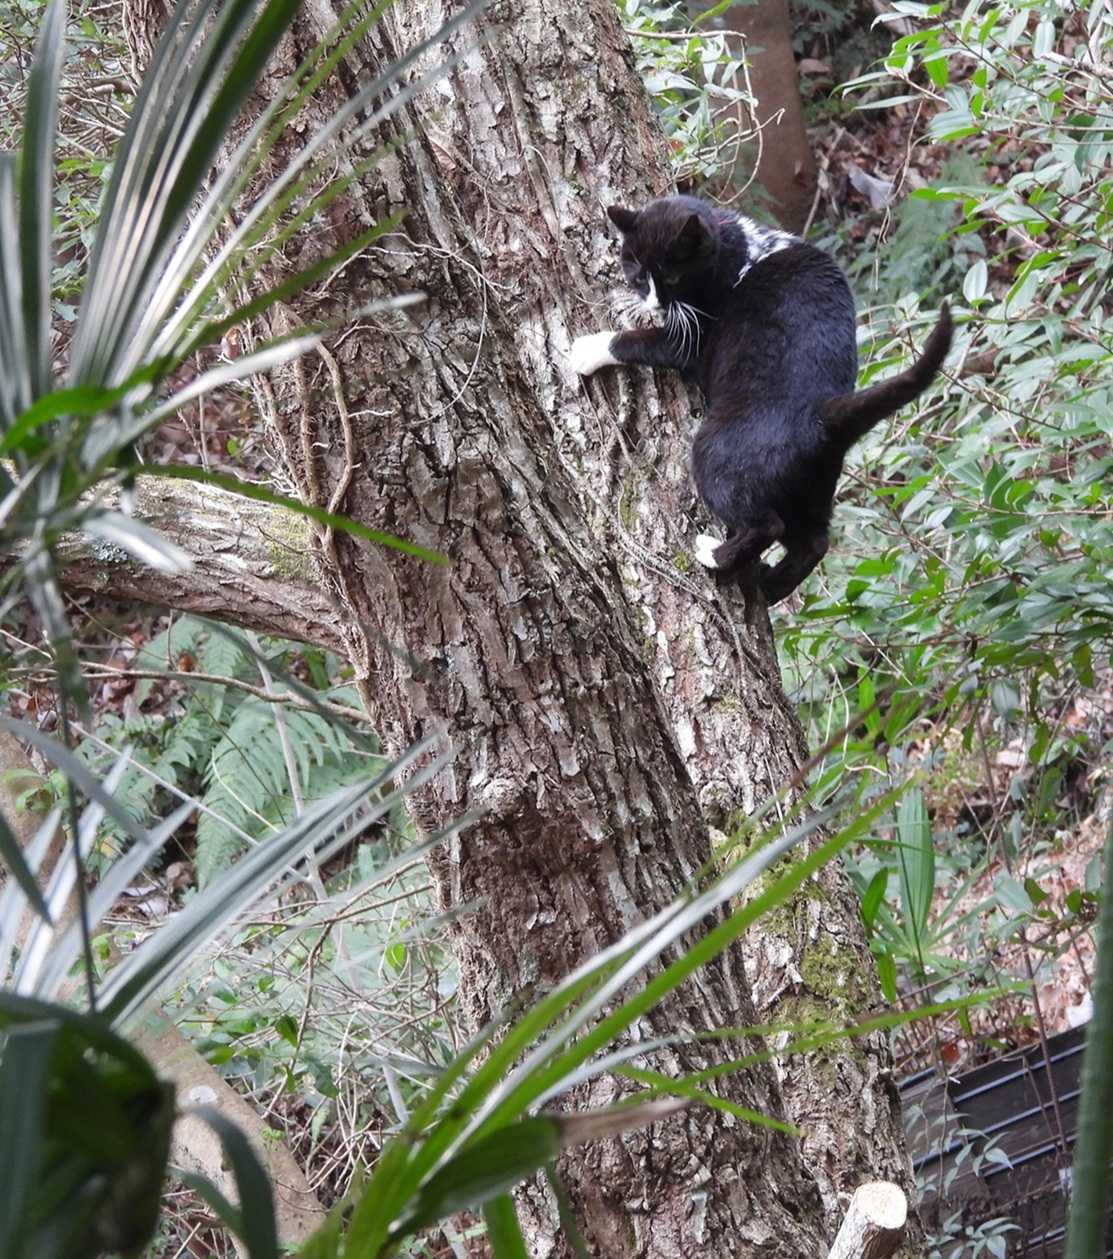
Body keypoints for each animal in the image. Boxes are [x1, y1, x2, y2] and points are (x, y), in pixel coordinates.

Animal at [569, 195, 953, 606]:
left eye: (672, 278)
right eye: (640, 276)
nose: (656, 303)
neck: (735, 247)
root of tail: (828, 412)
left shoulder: (693, 338)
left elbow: (638, 341)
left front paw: (589, 348)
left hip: (717, 451)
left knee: (766, 525)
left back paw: (713, 554)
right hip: (811, 484)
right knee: (814, 541)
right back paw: (770, 587)